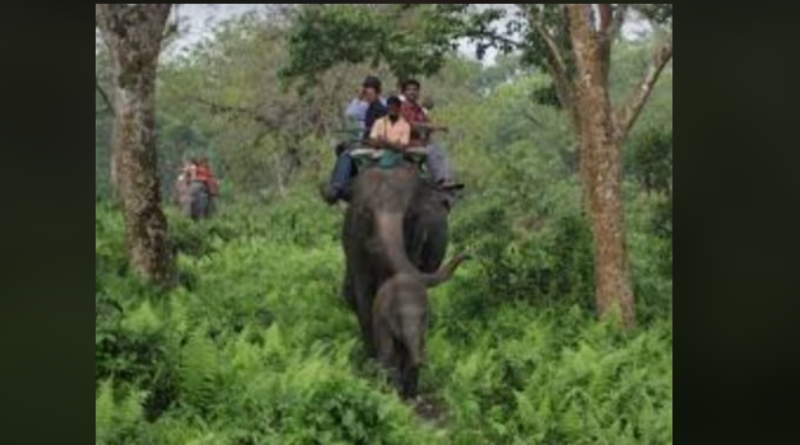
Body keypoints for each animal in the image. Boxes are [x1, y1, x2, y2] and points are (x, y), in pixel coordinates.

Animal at [340, 160, 456, 358]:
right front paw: (372, 360)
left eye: (409, 214)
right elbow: (361, 290)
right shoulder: (354, 238)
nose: (469, 255)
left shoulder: (416, 235)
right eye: (366, 212)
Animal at [374, 253, 468, 398]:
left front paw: (405, 394)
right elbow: (388, 351)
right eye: (398, 318)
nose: (470, 256)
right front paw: (390, 392)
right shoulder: (383, 320)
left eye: (424, 317)